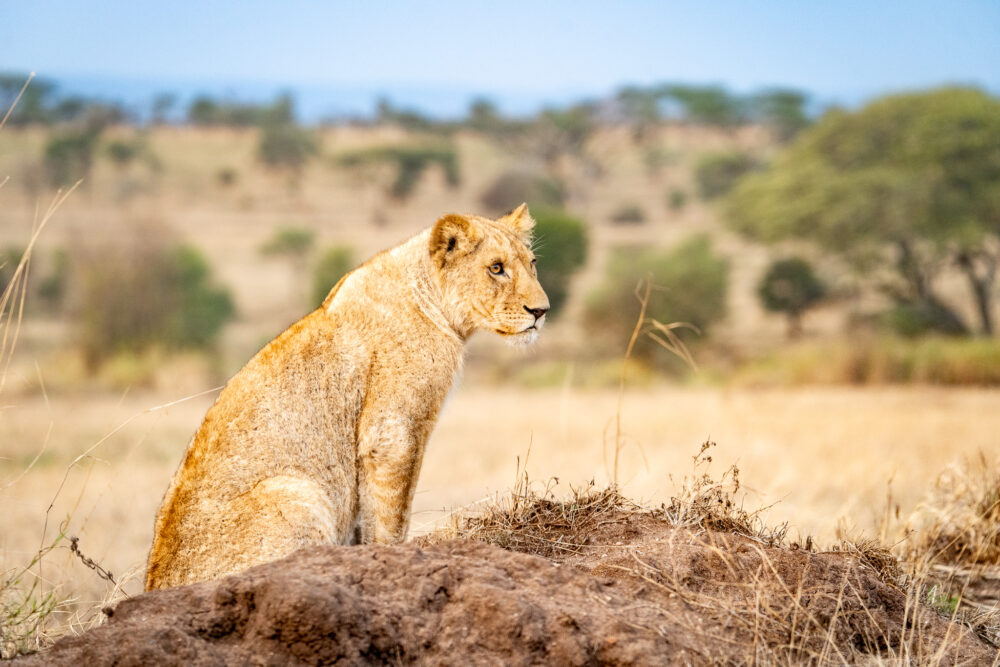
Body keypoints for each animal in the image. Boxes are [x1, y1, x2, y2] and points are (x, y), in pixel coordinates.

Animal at [143, 204, 548, 588]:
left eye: (531, 264)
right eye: (496, 268)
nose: (541, 311)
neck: (431, 300)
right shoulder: (391, 434)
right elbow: (391, 514)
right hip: (298, 492)